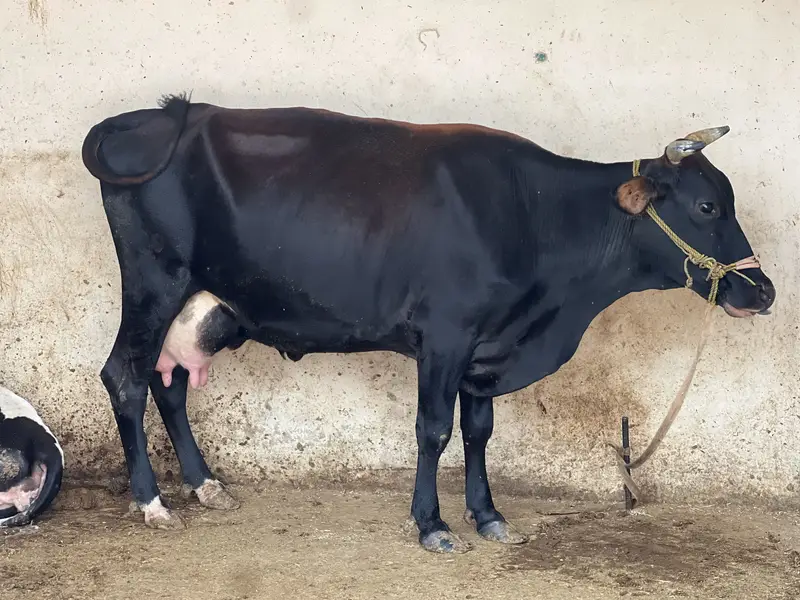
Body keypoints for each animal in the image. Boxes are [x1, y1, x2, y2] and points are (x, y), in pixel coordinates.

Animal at [81, 94, 775, 553]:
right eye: (706, 205)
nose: (763, 290)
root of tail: (167, 111)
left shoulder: (485, 349)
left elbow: (479, 431)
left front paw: (488, 516)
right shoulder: (447, 335)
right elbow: (434, 430)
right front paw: (432, 524)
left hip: (200, 304)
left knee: (169, 383)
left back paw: (205, 485)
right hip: (153, 283)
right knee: (126, 378)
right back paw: (152, 500)